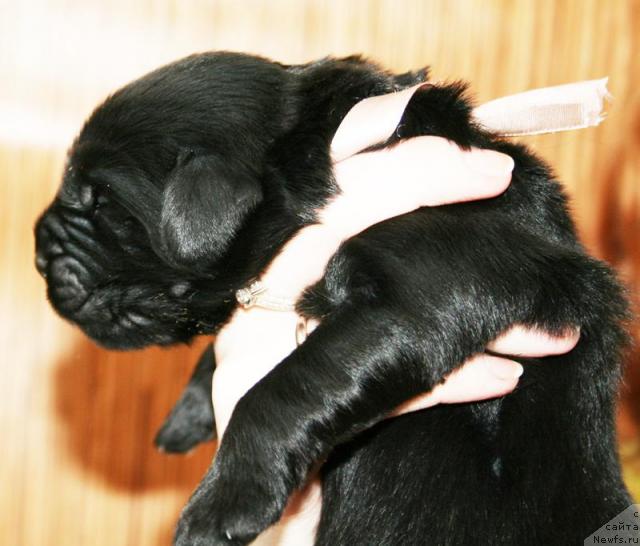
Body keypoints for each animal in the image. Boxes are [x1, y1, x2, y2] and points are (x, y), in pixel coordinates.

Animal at [35, 52, 632, 544]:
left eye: (101, 201)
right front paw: (190, 411)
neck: (314, 141)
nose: (39, 253)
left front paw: (221, 505)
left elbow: (280, 392)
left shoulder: (425, 288)